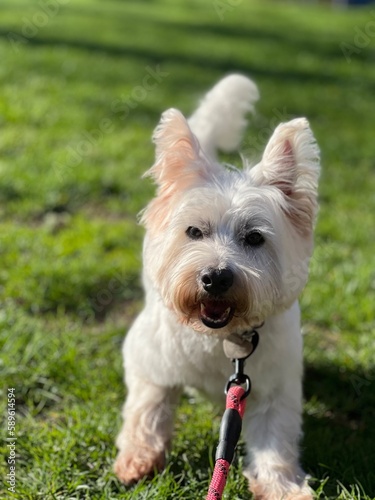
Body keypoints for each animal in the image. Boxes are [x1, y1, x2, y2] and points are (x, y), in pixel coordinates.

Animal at [114, 75, 320, 500]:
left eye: (254, 238)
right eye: (194, 231)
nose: (215, 277)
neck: (220, 339)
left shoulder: (274, 388)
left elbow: (275, 442)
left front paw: (283, 487)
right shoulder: (148, 359)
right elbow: (147, 407)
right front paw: (138, 459)